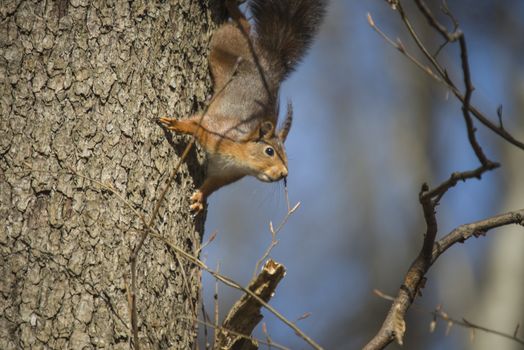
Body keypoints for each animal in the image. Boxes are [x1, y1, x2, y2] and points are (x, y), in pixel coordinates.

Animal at [160, 0, 326, 213]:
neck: (240, 160)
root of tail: (267, 59)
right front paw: (177, 124)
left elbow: (211, 185)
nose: (284, 173)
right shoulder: (217, 131)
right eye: (269, 151)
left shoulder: (224, 175)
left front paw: (199, 198)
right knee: (242, 26)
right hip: (223, 46)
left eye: (286, 154)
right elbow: (197, 124)